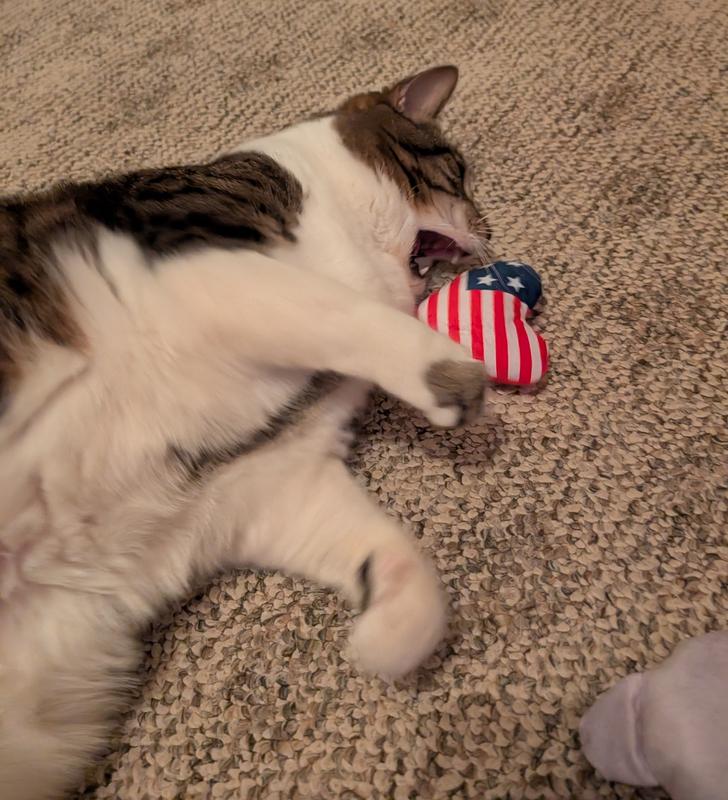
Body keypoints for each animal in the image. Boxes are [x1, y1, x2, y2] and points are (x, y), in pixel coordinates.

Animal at [0, 65, 492, 799]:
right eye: (456, 172)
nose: (488, 231)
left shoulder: (275, 479)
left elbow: (403, 564)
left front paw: (380, 640)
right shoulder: (205, 273)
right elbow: (343, 312)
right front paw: (455, 376)